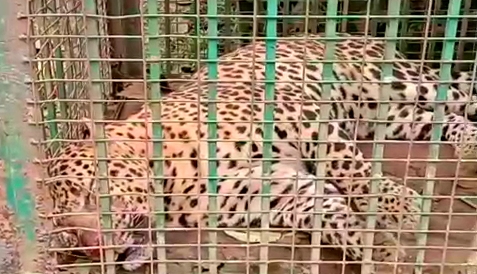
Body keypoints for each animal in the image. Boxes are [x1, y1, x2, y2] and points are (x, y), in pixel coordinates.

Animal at [46, 32, 476, 272]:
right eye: (66, 233)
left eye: (90, 192)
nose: (95, 246)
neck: (170, 178)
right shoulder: (276, 192)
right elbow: (331, 215)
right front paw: (382, 251)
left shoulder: (302, 117)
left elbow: (349, 167)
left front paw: (399, 206)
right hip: (387, 116)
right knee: (439, 119)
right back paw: (469, 146)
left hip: (399, 84)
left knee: (461, 94)